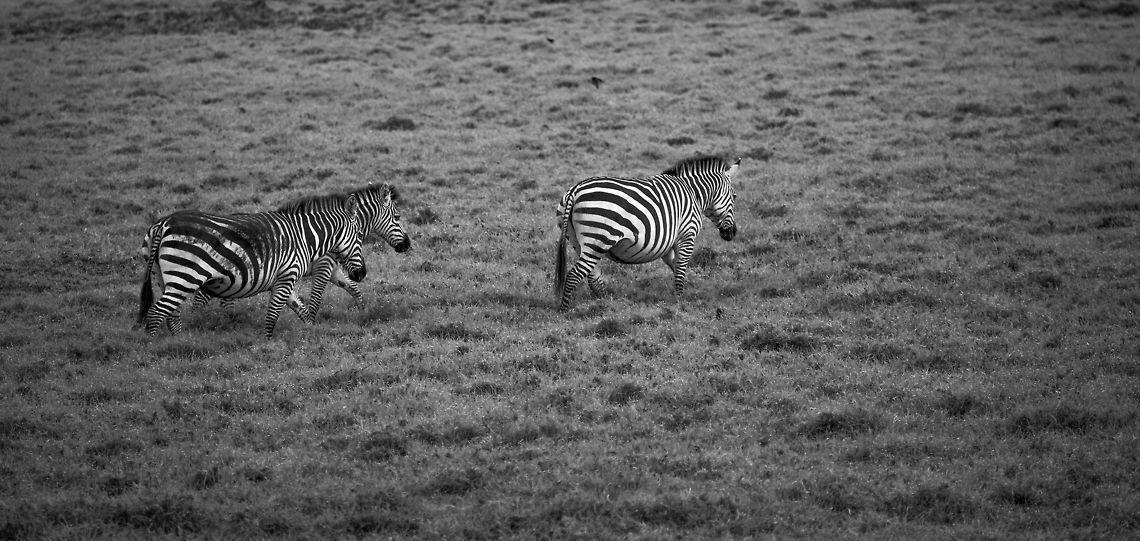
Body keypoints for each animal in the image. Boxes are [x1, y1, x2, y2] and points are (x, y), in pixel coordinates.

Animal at [137, 191, 369, 338]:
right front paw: (269, 344)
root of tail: (162, 224)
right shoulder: (288, 275)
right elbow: (273, 315)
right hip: (185, 276)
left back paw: (179, 341)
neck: (304, 237)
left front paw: (312, 332)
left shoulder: (282, 279)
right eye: (359, 235)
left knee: (171, 316)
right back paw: (153, 351)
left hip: (162, 276)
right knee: (157, 313)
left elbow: (299, 309)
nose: (362, 274)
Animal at [183, 184, 410, 318]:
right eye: (397, 217)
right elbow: (316, 297)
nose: (407, 245)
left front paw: (364, 312)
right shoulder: (323, 267)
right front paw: (312, 323)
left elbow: (353, 288)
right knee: (202, 296)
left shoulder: (333, 268)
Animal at [554, 156, 741, 312]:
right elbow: (681, 267)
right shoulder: (687, 234)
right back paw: (565, 311)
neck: (692, 193)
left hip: (578, 242)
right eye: (734, 196)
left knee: (593, 276)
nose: (732, 233)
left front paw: (685, 291)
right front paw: (680, 300)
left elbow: (675, 266)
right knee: (574, 275)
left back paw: (607, 303)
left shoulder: (668, 242)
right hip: (598, 240)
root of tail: (575, 190)